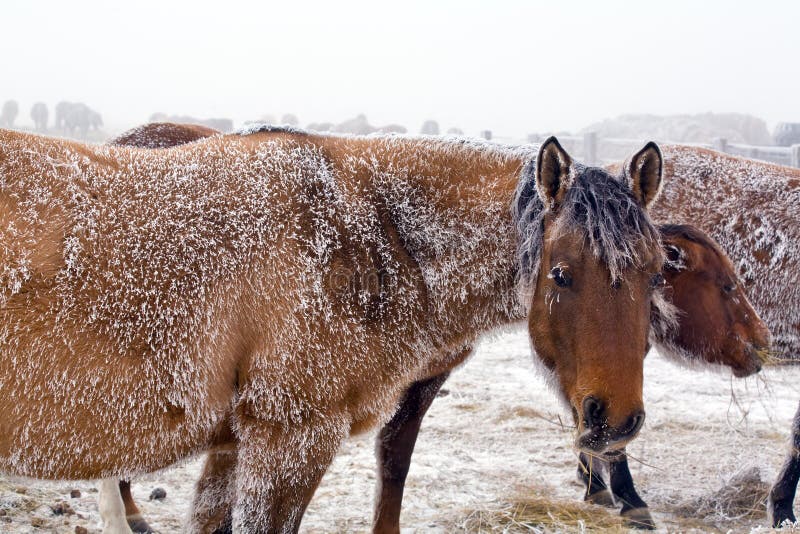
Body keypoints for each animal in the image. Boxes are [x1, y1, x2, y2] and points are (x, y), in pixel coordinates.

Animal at [0, 127, 668, 532]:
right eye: (560, 274)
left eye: (657, 270)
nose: (616, 420)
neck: (363, 232)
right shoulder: (290, 441)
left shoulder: (233, 447)